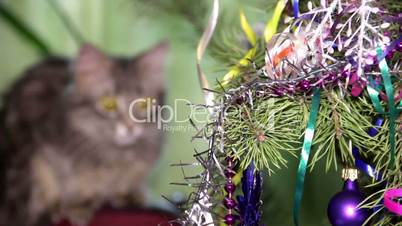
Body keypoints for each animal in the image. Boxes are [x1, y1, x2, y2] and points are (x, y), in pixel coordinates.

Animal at [0, 41, 168, 226]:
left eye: (144, 104)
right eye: (109, 104)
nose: (130, 126)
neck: (116, 156)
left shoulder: (140, 164)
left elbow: (130, 180)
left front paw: (128, 195)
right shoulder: (40, 150)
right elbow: (57, 182)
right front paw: (77, 204)